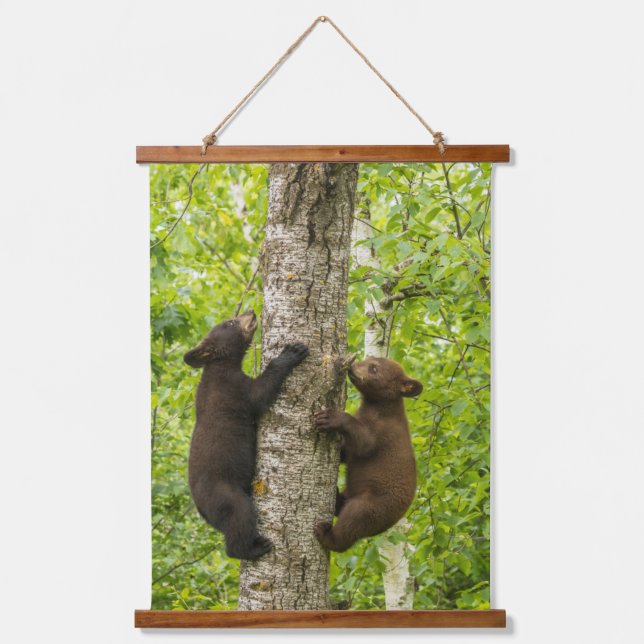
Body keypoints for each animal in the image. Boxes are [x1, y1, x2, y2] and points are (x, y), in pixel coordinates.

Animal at [184, 309, 309, 560]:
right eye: (230, 322)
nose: (250, 311)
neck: (220, 365)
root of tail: (202, 511)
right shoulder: (233, 388)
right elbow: (260, 394)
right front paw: (291, 352)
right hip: (226, 494)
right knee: (240, 517)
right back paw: (254, 548)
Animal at [314, 356, 422, 552]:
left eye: (374, 368)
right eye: (368, 359)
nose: (352, 365)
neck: (379, 407)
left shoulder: (385, 432)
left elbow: (364, 443)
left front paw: (330, 417)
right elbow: (347, 452)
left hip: (374, 505)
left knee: (353, 520)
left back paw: (326, 535)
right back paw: (337, 497)